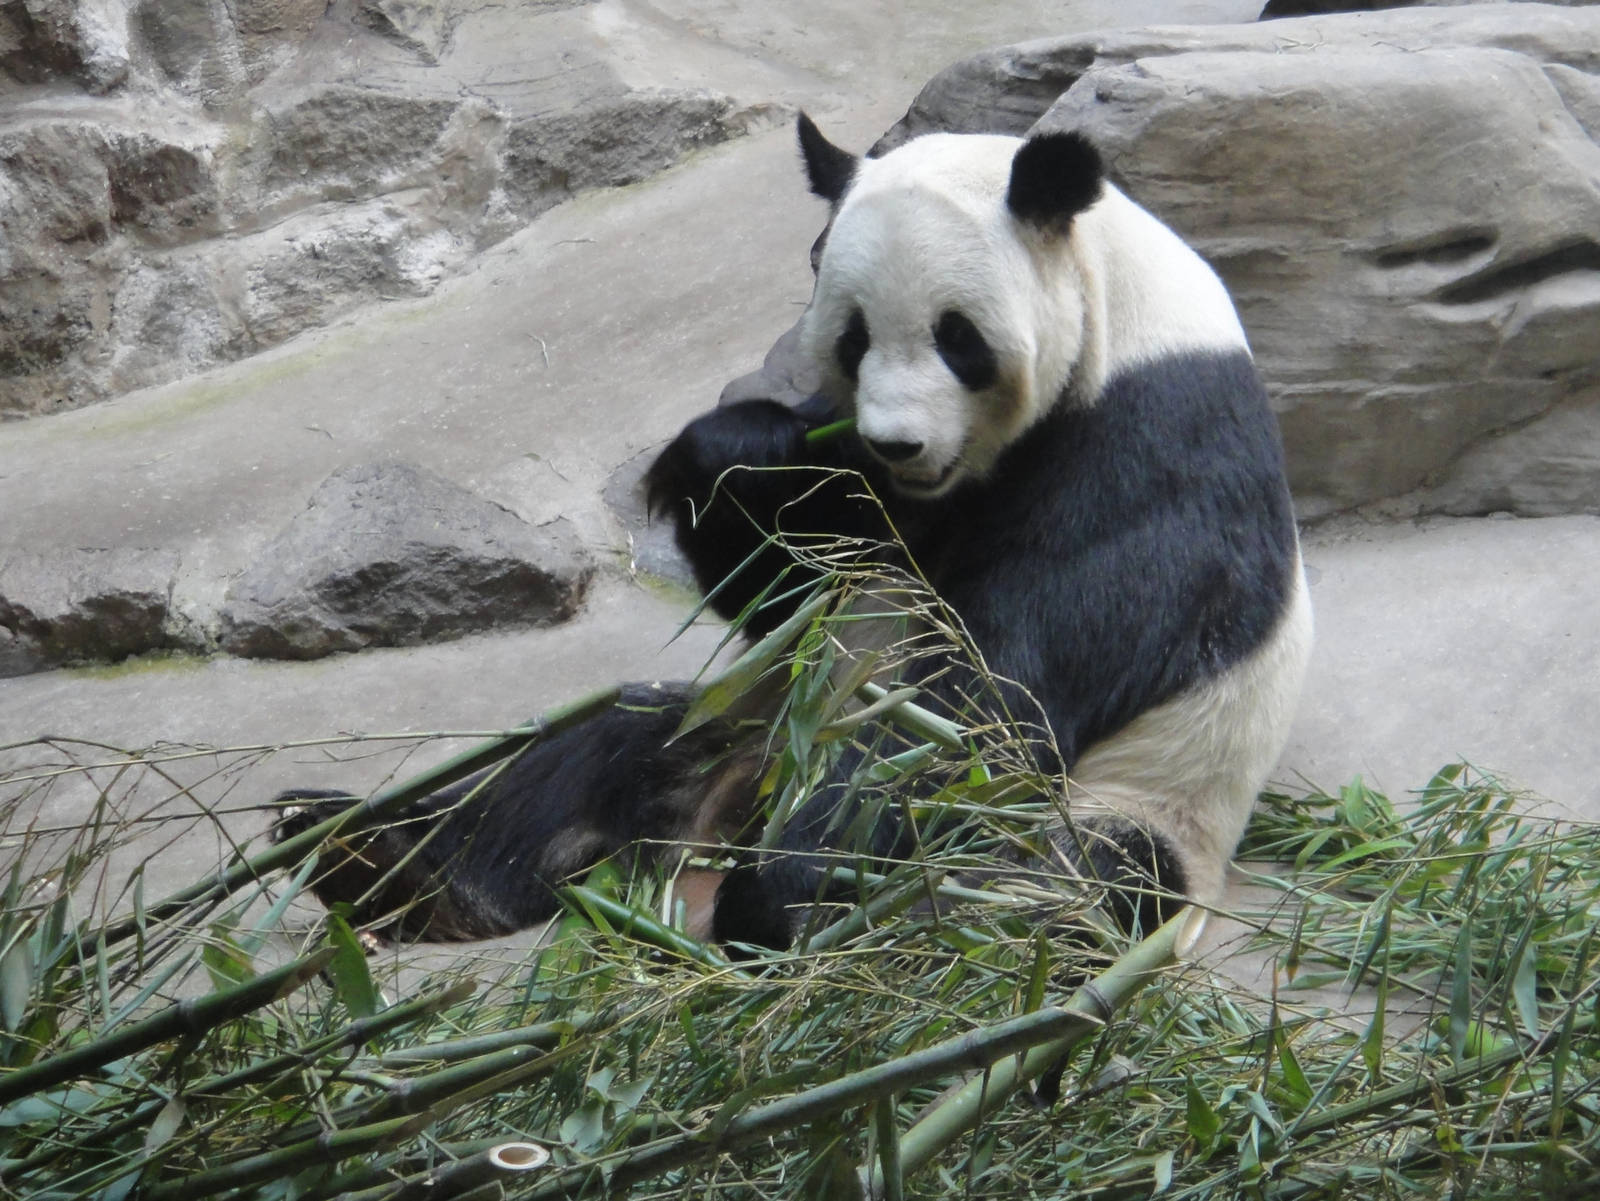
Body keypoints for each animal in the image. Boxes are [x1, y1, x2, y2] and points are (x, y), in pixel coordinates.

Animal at [274, 113, 1313, 951]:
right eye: (854, 334)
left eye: (958, 338)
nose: (901, 441)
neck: (1116, 300)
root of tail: (700, 844)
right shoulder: (866, 476)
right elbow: (794, 581)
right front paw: (728, 456)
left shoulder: (1148, 440)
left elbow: (987, 697)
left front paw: (798, 885)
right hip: (745, 720)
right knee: (597, 752)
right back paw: (377, 856)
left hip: (1134, 808)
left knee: (1050, 885)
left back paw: (782, 911)